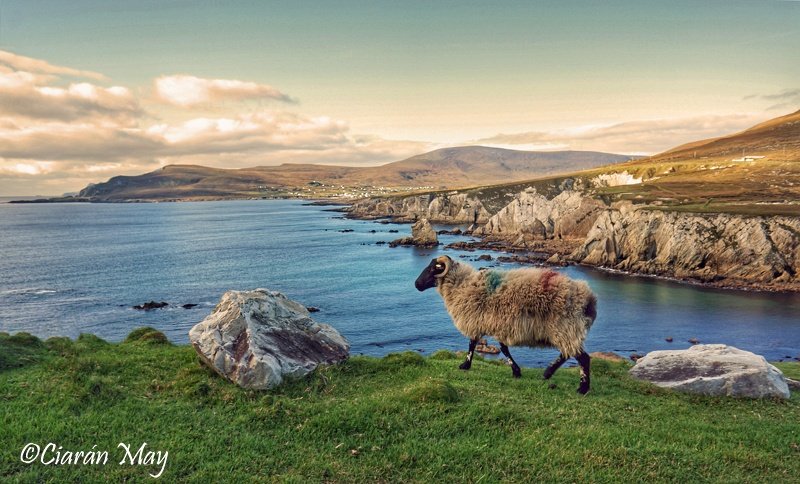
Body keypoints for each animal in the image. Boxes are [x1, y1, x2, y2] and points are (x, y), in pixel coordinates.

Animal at [416, 255, 596, 396]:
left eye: (432, 269)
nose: (416, 284)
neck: (462, 286)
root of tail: (588, 297)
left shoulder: (479, 321)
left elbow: (474, 345)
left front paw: (465, 365)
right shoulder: (497, 324)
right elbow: (502, 348)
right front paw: (516, 371)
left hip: (565, 327)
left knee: (582, 358)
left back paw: (582, 388)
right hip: (564, 331)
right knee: (567, 353)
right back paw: (547, 373)